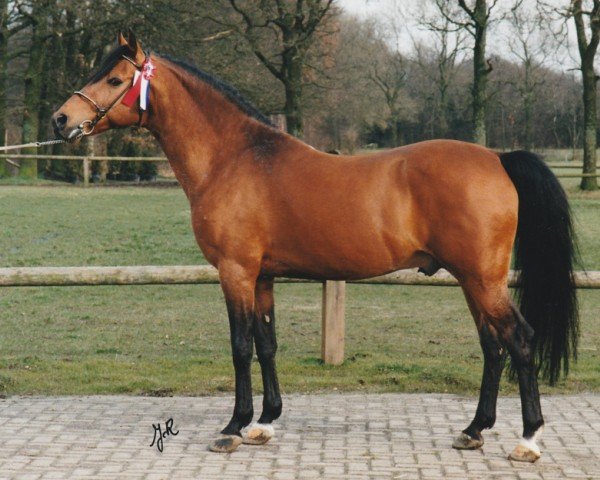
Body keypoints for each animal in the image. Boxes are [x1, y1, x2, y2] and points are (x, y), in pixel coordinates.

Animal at [51, 32, 576, 462]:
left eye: (115, 78)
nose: (61, 119)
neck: (234, 158)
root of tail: (498, 159)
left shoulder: (235, 271)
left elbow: (240, 346)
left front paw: (232, 427)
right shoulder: (262, 275)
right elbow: (267, 344)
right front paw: (264, 423)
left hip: (482, 279)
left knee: (519, 340)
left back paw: (528, 439)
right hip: (472, 281)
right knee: (493, 345)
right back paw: (473, 430)